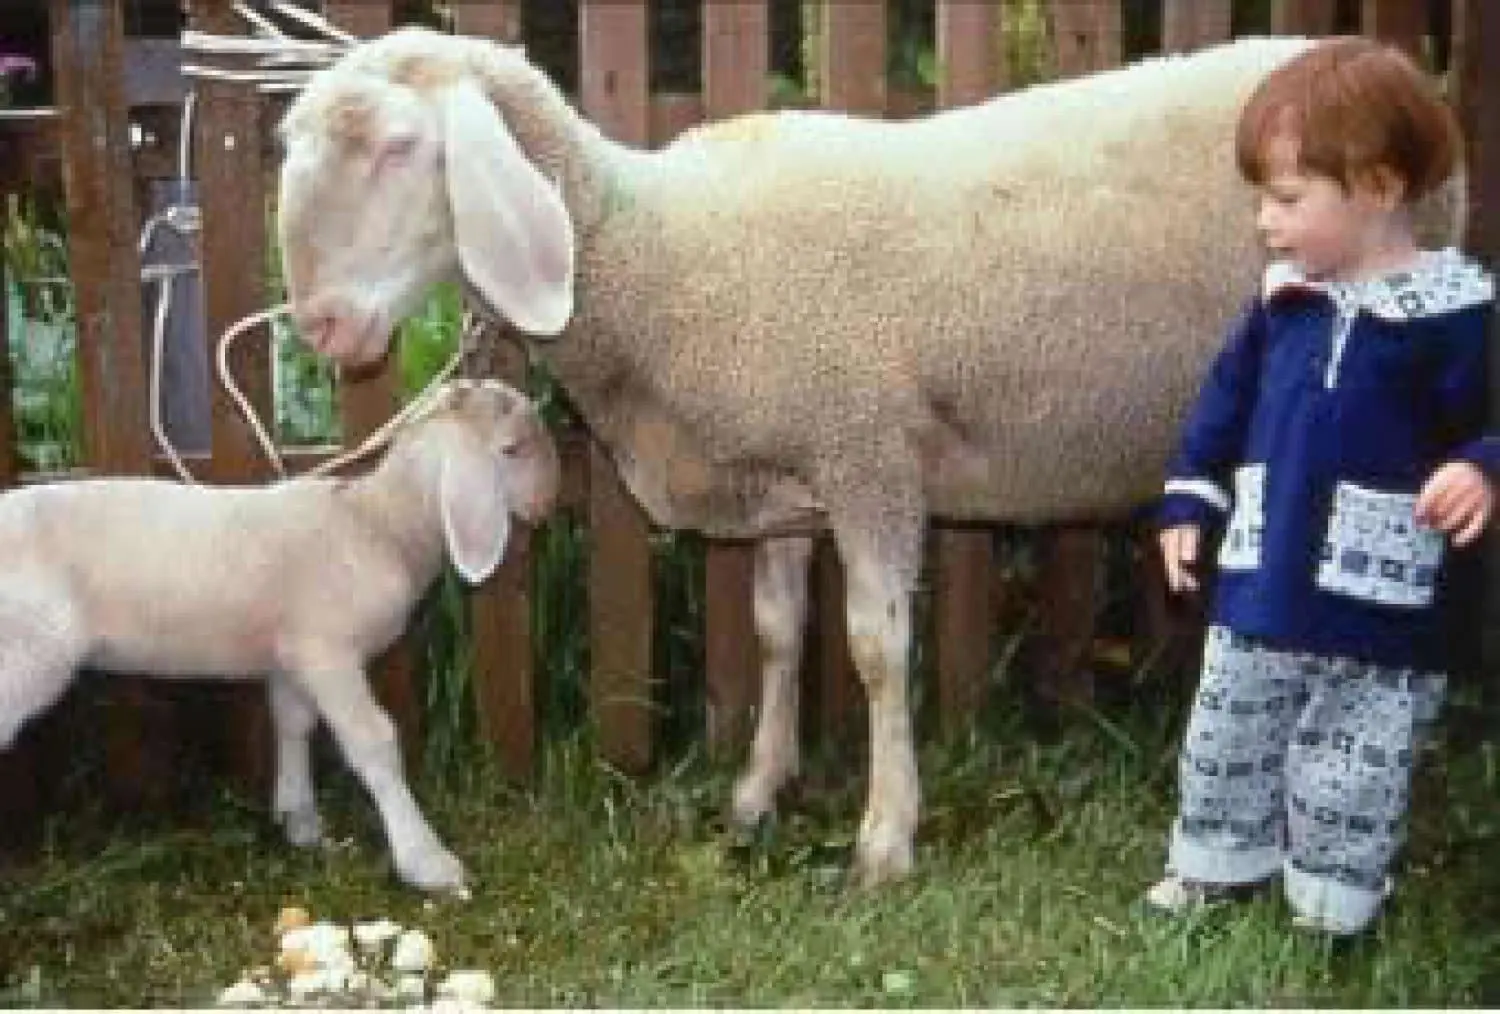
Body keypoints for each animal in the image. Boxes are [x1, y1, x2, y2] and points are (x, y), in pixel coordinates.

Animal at [0, 379, 558, 893]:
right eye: (511, 448)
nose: (549, 502)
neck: (377, 525)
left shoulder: (291, 653)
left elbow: (293, 724)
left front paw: (300, 821)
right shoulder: (327, 650)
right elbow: (374, 740)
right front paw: (428, 862)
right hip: (28, 654)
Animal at [272, 30, 1465, 886]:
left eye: (398, 148)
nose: (320, 327)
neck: (653, 252)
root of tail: (1410, 78)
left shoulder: (869, 457)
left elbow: (875, 649)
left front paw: (885, 838)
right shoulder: (790, 480)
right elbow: (776, 632)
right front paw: (761, 788)